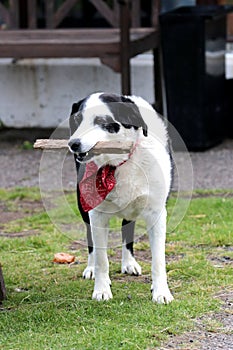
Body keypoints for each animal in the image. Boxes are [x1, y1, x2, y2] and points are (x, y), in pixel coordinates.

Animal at [67, 93, 173, 304]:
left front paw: (161, 292)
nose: (73, 144)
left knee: (128, 228)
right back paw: (91, 267)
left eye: (101, 121)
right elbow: (101, 259)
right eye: (77, 119)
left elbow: (158, 260)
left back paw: (129, 263)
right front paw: (101, 290)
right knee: (91, 241)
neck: (120, 164)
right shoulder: (96, 214)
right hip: (83, 206)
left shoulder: (157, 213)